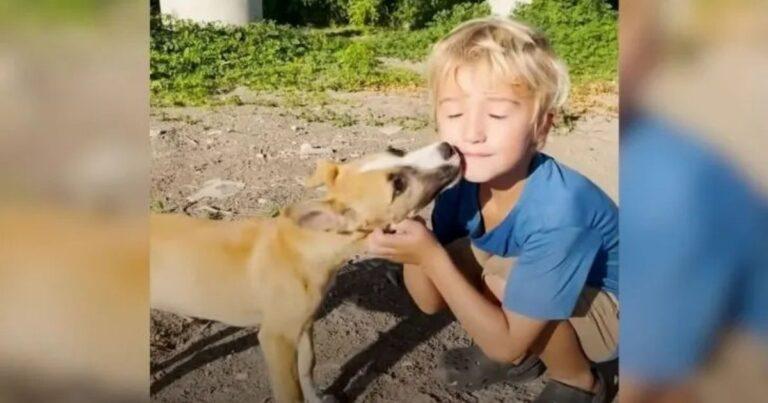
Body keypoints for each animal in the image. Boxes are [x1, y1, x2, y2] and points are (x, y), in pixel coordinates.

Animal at [151, 141, 462, 400]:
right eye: (398, 185)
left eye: (396, 151)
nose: (448, 147)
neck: (309, 245)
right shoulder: (276, 339)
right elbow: (290, 392)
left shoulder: (305, 324)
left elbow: (308, 366)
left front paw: (316, 396)